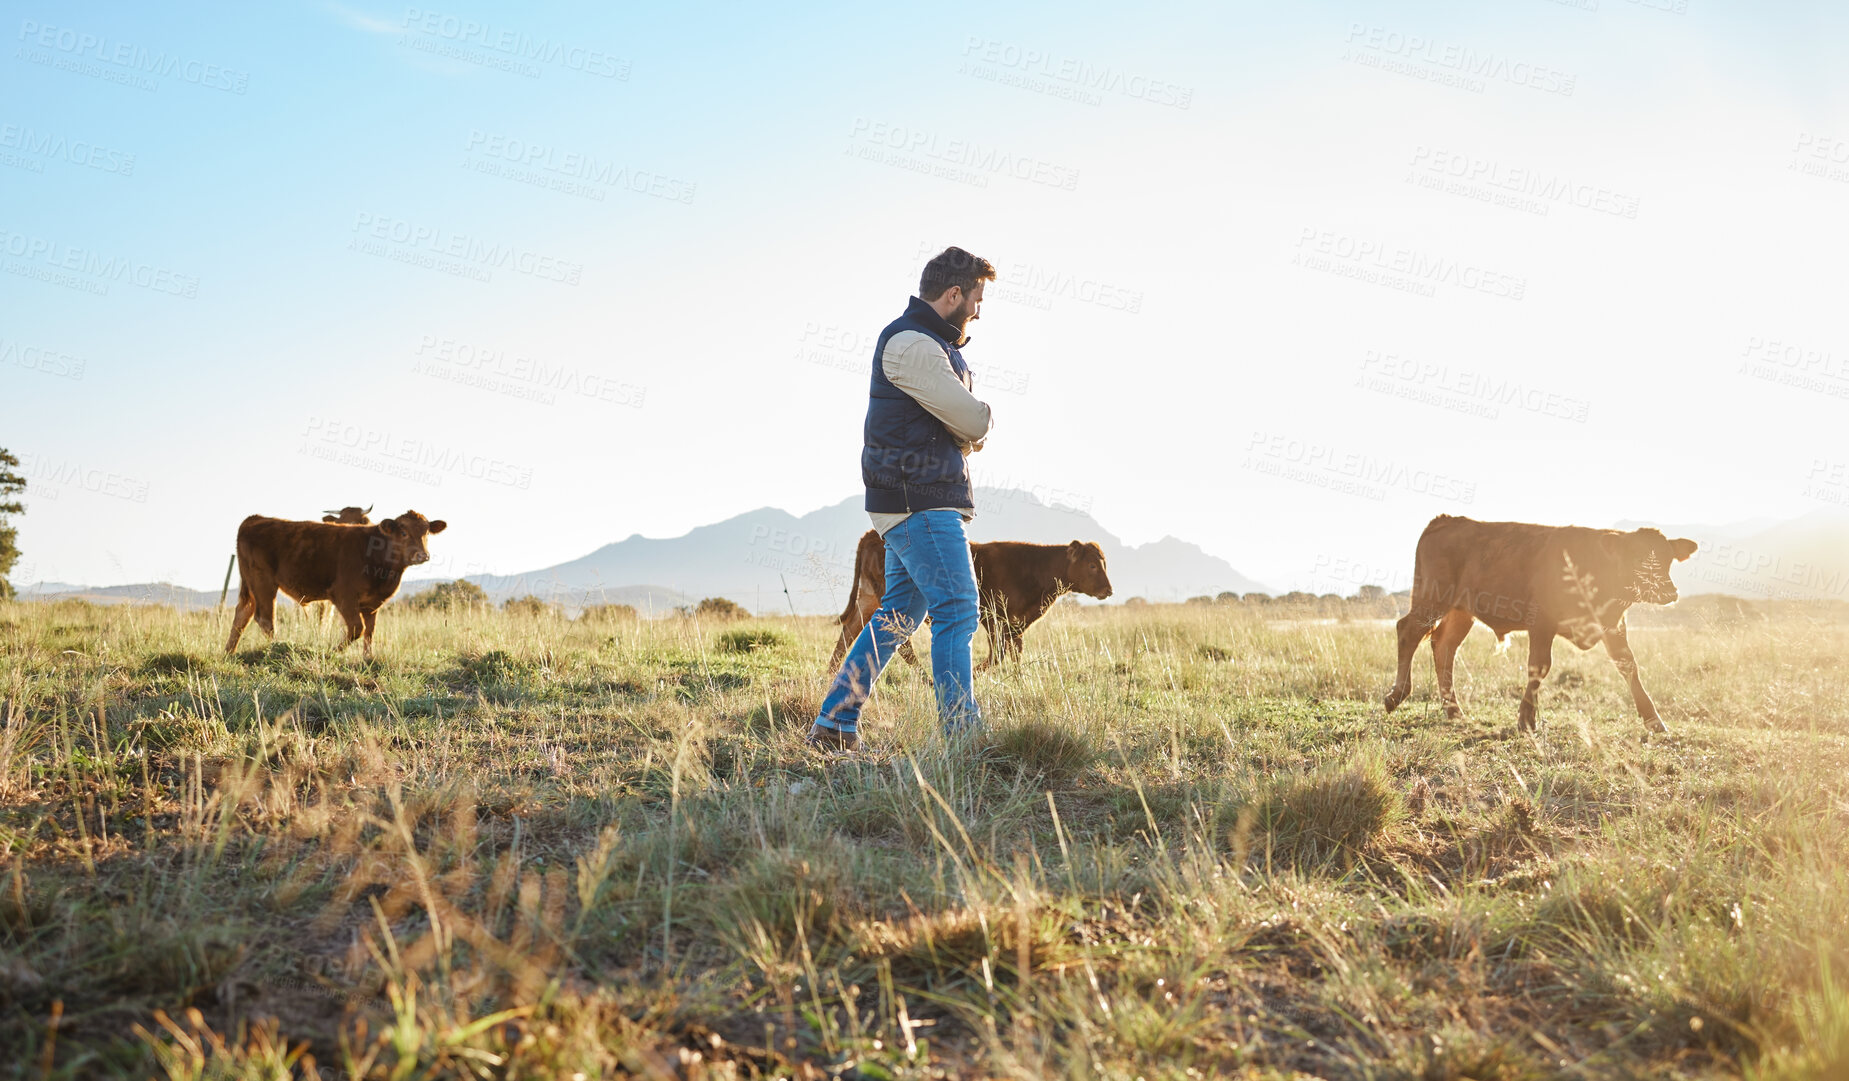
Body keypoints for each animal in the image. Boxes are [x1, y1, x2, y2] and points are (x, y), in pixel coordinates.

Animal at [227, 513, 447, 661]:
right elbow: (357, 629)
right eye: (403, 532)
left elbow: (370, 632)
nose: (423, 555)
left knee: (242, 615)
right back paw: (279, 648)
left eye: (427, 532)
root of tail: (255, 519)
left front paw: (367, 658)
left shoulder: (372, 604)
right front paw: (332, 652)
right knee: (265, 619)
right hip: (263, 582)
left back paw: (229, 652)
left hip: (251, 586)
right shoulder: (343, 595)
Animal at [835, 528, 1116, 668]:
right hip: (896, 606)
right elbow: (997, 654)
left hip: (867, 600)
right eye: (1092, 565)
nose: (1109, 590)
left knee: (847, 635)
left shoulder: (1016, 622)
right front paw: (975, 675)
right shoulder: (992, 617)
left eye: (1104, 563)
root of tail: (872, 534)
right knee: (903, 647)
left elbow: (1015, 653)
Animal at [1383, 513, 1693, 731]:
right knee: (1408, 631)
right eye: (1637, 558)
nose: (1669, 592)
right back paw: (1396, 695)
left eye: (1668, 559)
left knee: (1443, 647)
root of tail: (1447, 519)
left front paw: (1654, 720)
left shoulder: (1613, 625)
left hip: (1461, 612)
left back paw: (1454, 711)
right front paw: (1526, 719)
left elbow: (1628, 665)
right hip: (1431, 599)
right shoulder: (1542, 622)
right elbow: (1539, 667)